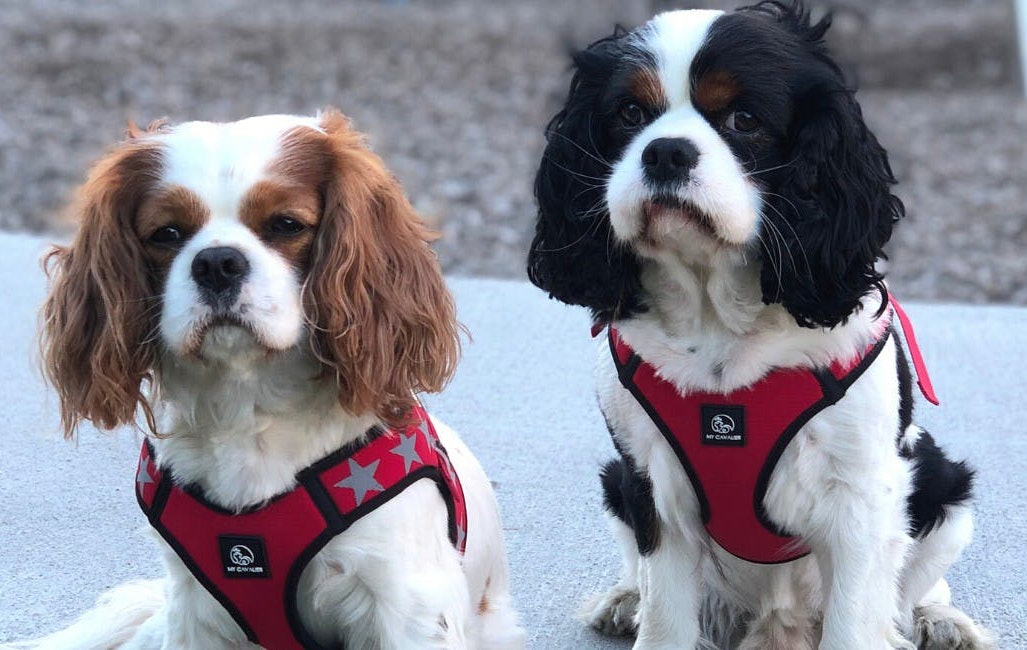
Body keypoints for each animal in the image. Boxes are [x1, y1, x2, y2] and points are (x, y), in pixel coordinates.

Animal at [18, 110, 521, 648]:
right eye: (166, 233)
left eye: (285, 224)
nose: (216, 262)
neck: (248, 405)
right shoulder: (194, 612)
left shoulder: (405, 605)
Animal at [529, 2, 994, 644]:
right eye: (630, 113)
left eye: (743, 118)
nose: (664, 152)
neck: (715, 315)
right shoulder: (647, 481)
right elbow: (666, 611)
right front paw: (645, 611)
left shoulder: (863, 493)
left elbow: (856, 618)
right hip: (615, 485)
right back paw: (624, 598)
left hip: (943, 484)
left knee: (912, 587)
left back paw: (939, 619)